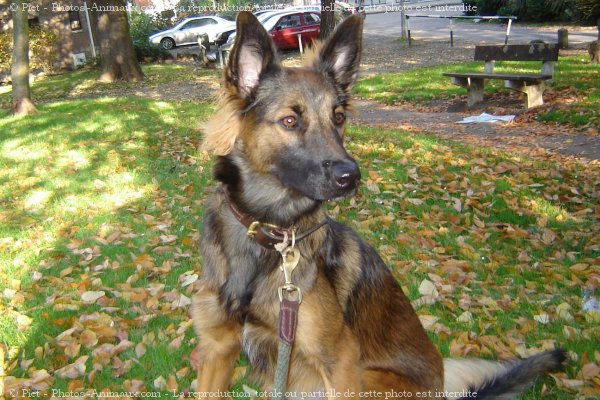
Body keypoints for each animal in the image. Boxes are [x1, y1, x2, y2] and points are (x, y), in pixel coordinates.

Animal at [193, 10, 568, 398]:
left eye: (338, 118)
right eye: (290, 121)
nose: (351, 176)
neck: (268, 234)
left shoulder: (340, 358)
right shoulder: (218, 349)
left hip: (368, 376)